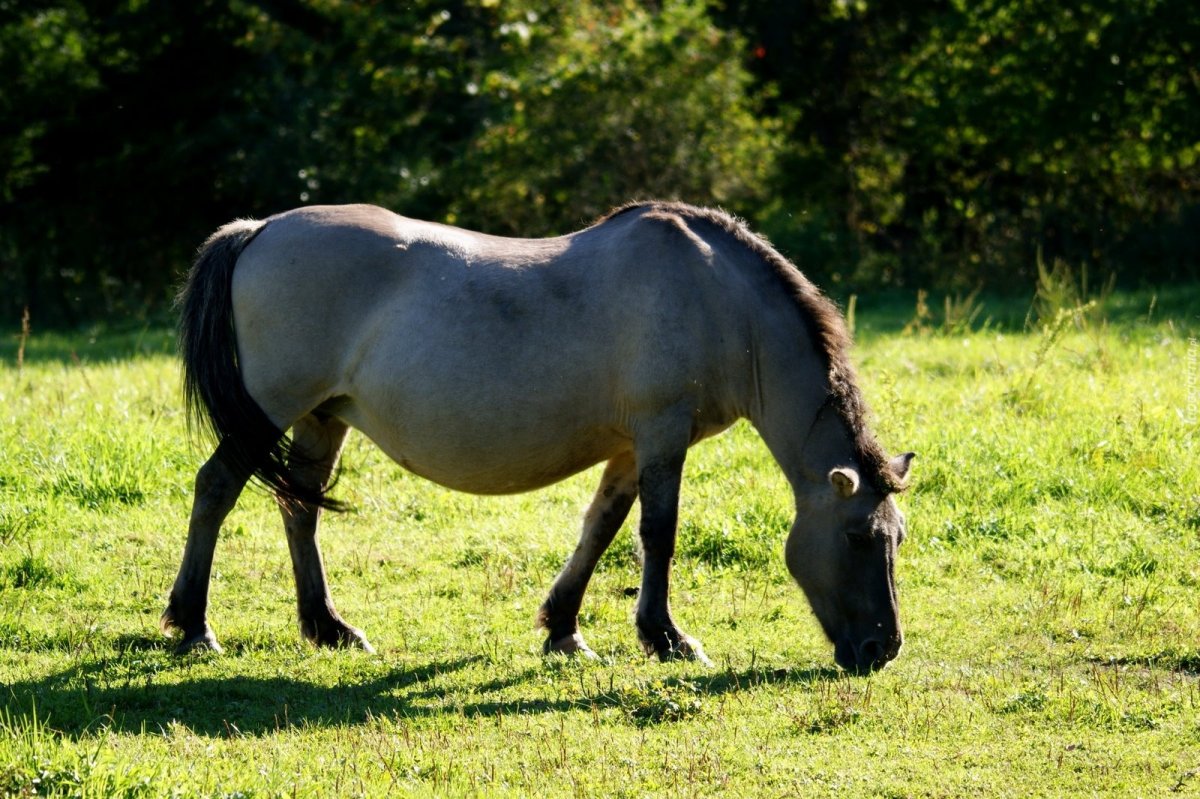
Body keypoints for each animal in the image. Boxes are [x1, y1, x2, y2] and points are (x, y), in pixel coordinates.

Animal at [161, 201, 914, 672]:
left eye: (896, 538)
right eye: (858, 537)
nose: (882, 649)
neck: (718, 299)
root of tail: (259, 229)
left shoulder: (629, 447)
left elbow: (600, 528)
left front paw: (564, 629)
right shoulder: (662, 433)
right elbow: (658, 533)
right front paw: (666, 637)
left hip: (323, 416)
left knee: (299, 507)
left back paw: (328, 627)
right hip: (272, 408)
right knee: (216, 487)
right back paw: (193, 626)